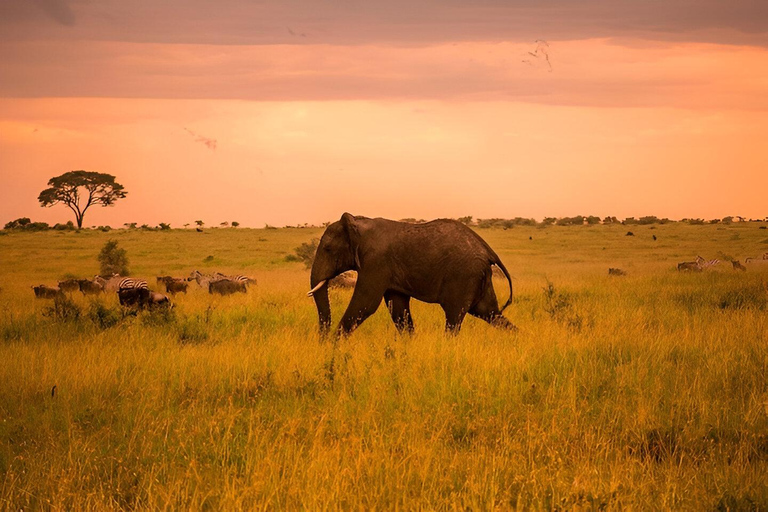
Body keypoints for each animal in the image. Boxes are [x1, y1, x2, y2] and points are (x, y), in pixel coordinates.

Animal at [308, 212, 516, 336]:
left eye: (327, 249)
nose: (322, 338)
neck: (358, 223)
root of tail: (488, 250)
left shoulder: (375, 262)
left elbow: (365, 304)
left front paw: (332, 347)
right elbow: (397, 308)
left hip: (464, 275)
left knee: (454, 318)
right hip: (479, 277)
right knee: (490, 313)